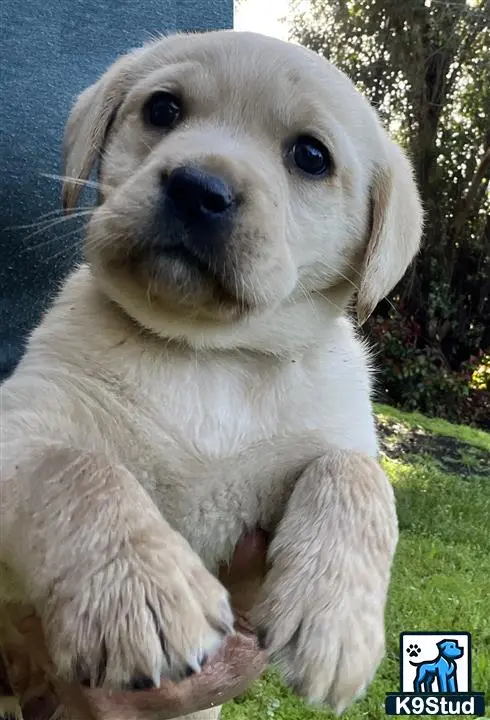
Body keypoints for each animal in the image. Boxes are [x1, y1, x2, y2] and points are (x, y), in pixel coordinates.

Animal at [0, 28, 422, 716]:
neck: (208, 356)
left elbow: (357, 476)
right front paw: (140, 593)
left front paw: (337, 625)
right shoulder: (25, 421)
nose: (197, 188)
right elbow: (77, 468)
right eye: (163, 109)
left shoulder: (336, 438)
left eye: (311, 156)